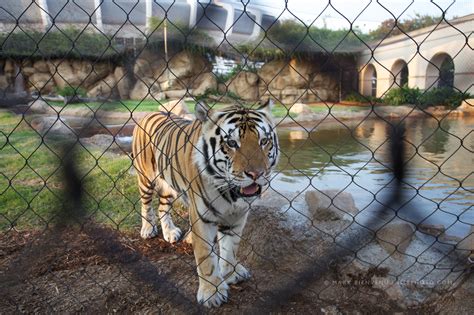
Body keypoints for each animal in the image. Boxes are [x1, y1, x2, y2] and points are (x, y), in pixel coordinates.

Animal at [131, 100, 280, 308]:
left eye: (264, 141)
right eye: (231, 143)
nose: (256, 174)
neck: (231, 193)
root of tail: (149, 113)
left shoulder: (237, 217)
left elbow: (230, 248)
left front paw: (232, 274)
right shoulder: (202, 217)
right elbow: (205, 257)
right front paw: (212, 293)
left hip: (169, 187)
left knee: (162, 207)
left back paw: (170, 232)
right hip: (145, 178)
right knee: (146, 205)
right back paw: (147, 229)